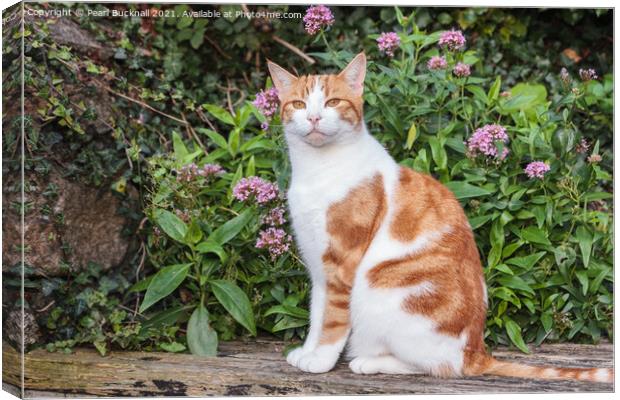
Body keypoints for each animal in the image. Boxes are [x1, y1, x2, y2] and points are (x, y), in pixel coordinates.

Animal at [268, 51, 616, 382]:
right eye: (299, 104)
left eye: (333, 102)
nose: (313, 117)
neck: (318, 169)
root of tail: (476, 351)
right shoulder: (318, 266)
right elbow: (317, 316)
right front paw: (308, 352)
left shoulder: (341, 264)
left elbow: (333, 321)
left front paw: (322, 361)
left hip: (382, 291)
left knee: (438, 366)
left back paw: (369, 362)